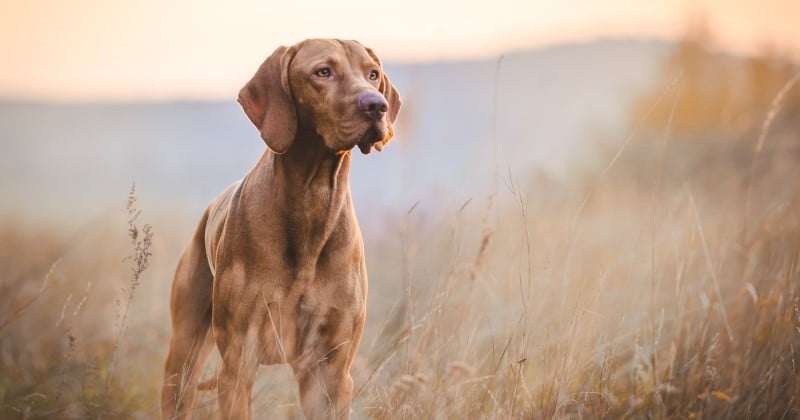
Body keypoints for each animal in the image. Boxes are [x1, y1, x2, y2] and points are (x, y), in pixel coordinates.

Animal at [161, 37, 400, 418]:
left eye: (373, 74)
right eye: (323, 71)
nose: (377, 106)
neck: (312, 202)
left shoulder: (331, 371)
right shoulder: (239, 363)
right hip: (183, 357)